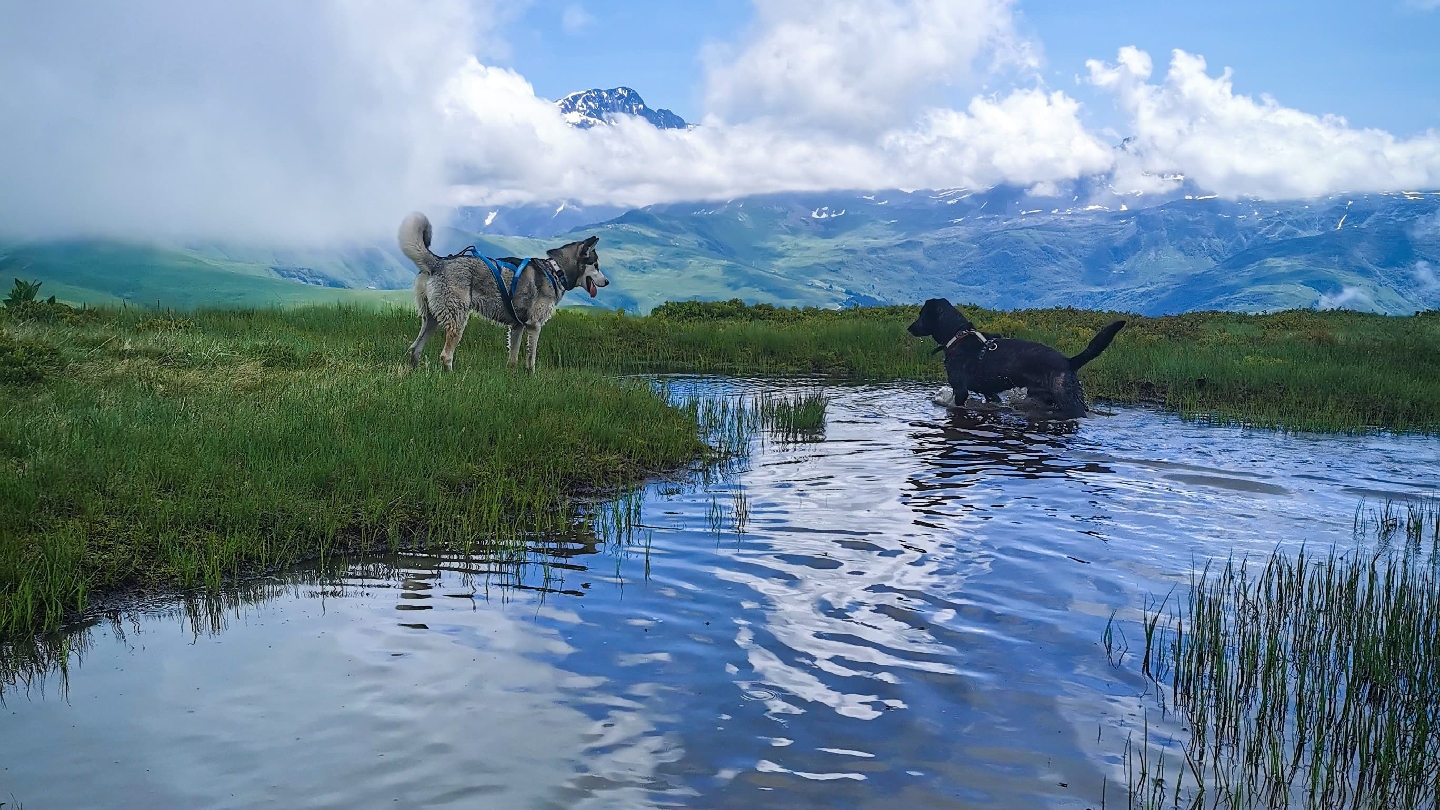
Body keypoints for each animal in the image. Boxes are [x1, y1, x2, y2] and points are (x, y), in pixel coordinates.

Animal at [399, 212, 609, 372]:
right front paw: (531, 377)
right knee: (445, 355)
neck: (556, 271)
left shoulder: (517, 326)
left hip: (432, 319)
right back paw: (451, 376)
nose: (607, 282)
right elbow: (531, 358)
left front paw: (513, 376)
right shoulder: (534, 326)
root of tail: (438, 262)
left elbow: (513, 358)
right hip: (457, 319)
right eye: (596, 265)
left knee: (414, 349)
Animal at [907, 297, 1125, 418]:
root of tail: (1069, 361)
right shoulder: (989, 392)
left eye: (922, 315)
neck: (958, 336)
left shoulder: (960, 390)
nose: (909, 328)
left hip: (1067, 400)